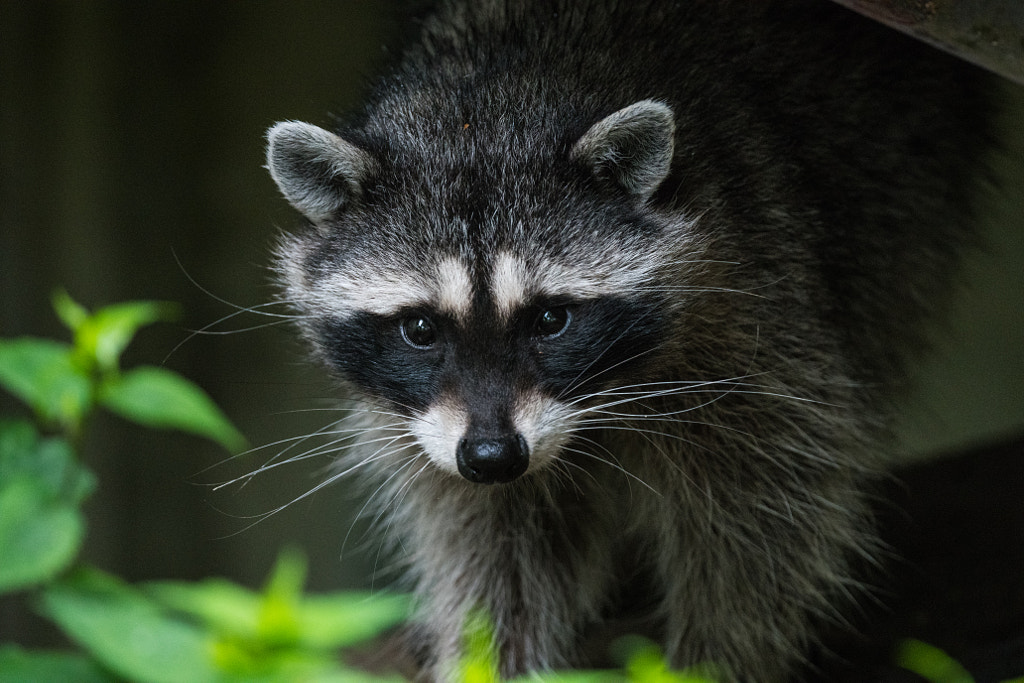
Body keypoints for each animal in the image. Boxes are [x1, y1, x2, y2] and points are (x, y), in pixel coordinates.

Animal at [264, 0, 993, 680]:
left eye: (551, 319)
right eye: (420, 329)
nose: (494, 456)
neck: (492, 94)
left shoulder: (756, 307)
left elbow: (767, 518)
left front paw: (713, 662)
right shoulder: (437, 432)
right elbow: (488, 543)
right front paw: (492, 657)